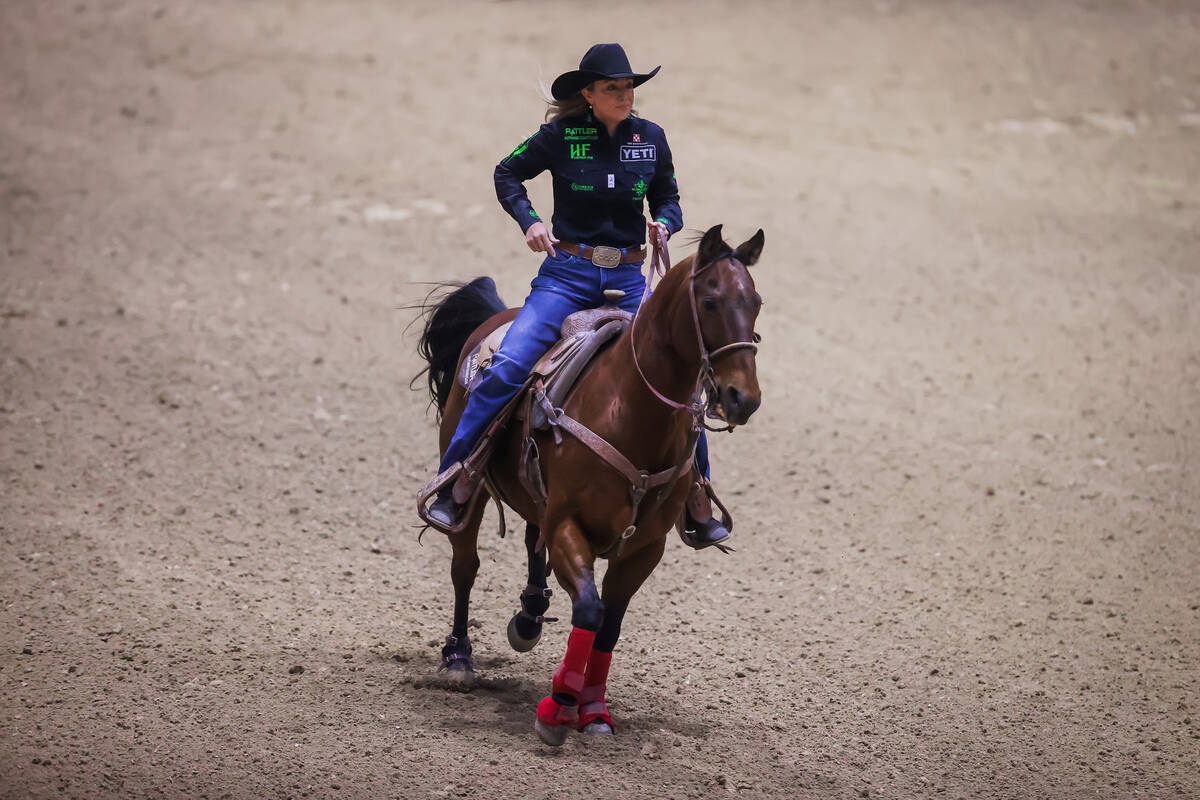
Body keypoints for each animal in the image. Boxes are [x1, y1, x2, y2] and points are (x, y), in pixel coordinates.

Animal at [412, 224, 768, 743]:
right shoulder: (569, 527)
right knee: (466, 566)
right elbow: (589, 610)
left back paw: (529, 616)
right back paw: (459, 658)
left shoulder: (645, 547)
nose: (744, 398)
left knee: (530, 540)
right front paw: (559, 707)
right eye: (711, 301)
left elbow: (609, 625)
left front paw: (595, 709)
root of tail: (497, 317)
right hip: (470, 492)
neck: (630, 410)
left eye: (756, 301)